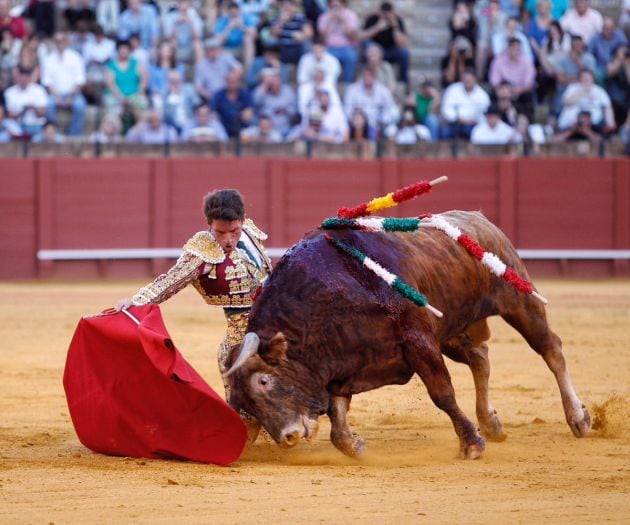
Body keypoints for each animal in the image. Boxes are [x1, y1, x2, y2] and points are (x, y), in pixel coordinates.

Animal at [223, 211, 592, 456]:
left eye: (264, 381)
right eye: (242, 402)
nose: (287, 438)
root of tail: (480, 219)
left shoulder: (418, 340)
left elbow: (442, 393)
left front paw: (471, 444)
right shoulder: (345, 358)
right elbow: (336, 409)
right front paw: (353, 444)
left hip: (518, 300)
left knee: (551, 349)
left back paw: (578, 418)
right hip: (453, 329)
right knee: (480, 359)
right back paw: (491, 422)